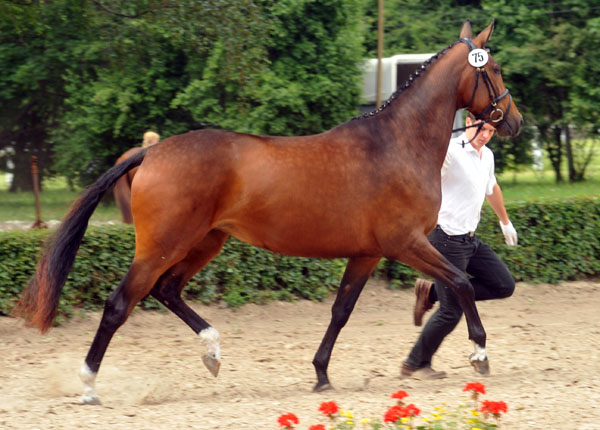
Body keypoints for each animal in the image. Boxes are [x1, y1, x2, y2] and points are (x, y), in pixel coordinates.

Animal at [14, 19, 520, 404]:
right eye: (494, 68)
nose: (513, 121)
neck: (397, 144)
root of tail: (150, 153)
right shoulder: (405, 243)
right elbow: (461, 282)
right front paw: (480, 354)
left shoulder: (367, 253)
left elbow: (341, 310)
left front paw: (321, 374)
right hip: (163, 245)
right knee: (122, 303)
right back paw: (89, 385)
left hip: (205, 241)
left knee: (167, 290)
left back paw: (212, 351)